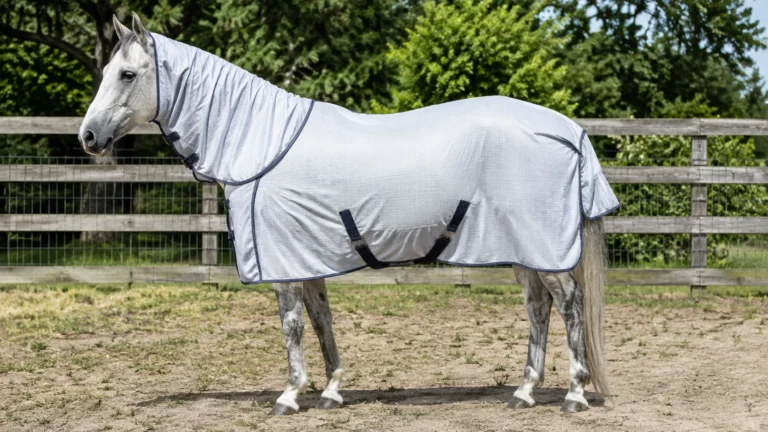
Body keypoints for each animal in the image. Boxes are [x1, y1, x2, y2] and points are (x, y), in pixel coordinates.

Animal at [79, 13, 618, 415]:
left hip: (542, 247)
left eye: (127, 74)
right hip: (524, 250)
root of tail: (566, 129)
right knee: (538, 308)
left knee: (569, 305)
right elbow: (322, 320)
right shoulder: (306, 256)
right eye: (106, 73)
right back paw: (524, 393)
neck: (262, 141)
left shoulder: (283, 262)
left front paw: (290, 396)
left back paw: (573, 395)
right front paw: (332, 391)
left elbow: (292, 325)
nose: (88, 137)